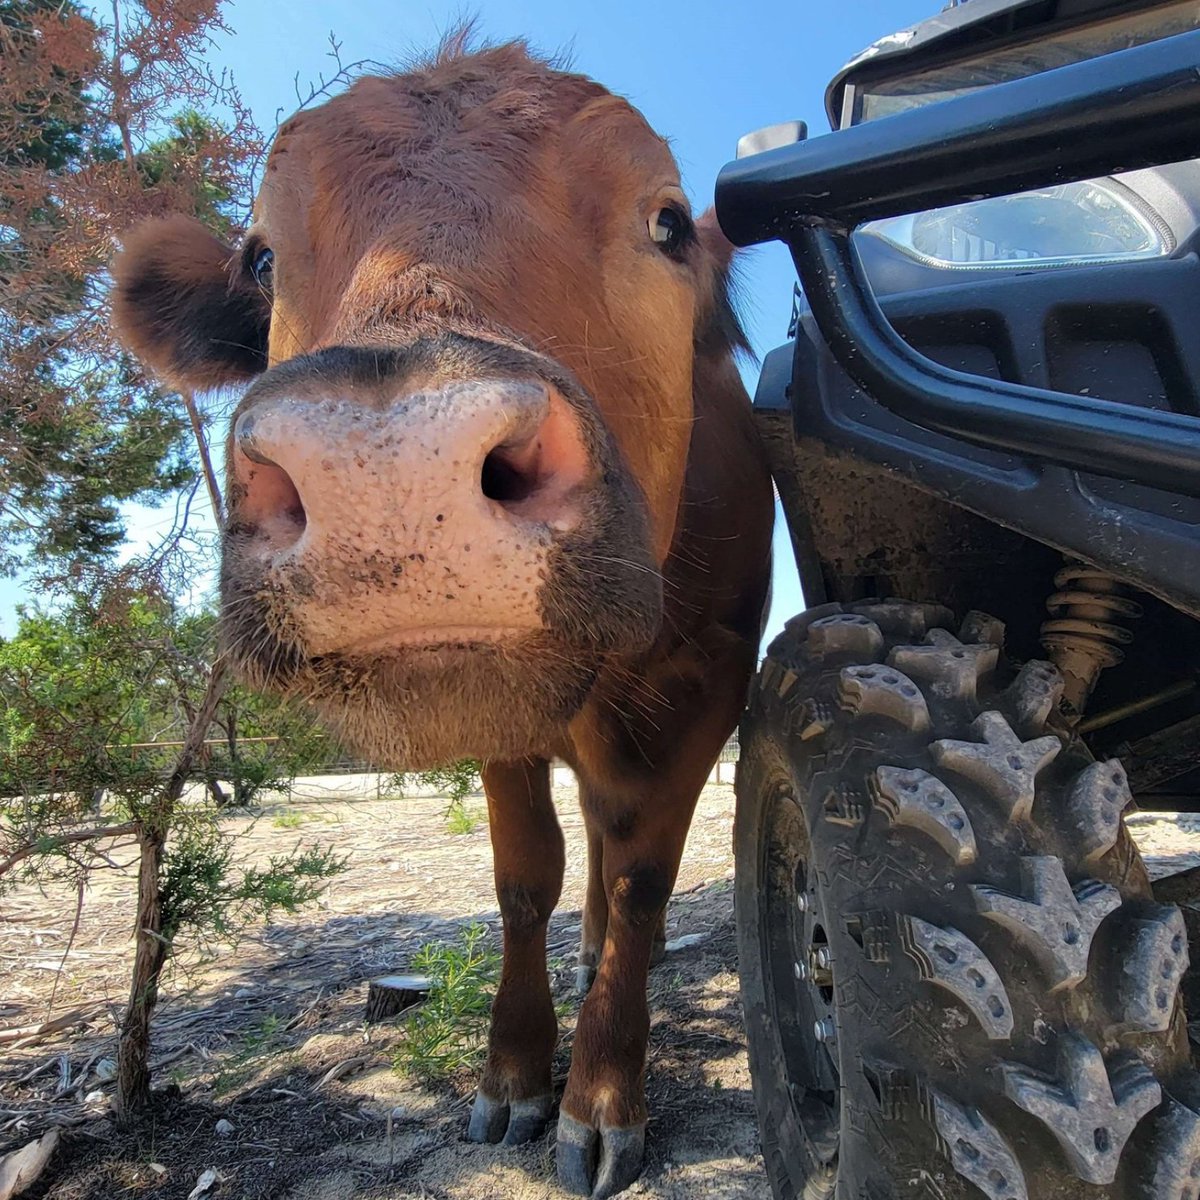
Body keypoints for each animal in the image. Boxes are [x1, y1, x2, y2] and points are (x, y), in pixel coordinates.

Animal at [112, 39, 768, 1200]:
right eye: (261, 258)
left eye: (668, 224)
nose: (391, 470)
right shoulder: (499, 723)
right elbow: (524, 876)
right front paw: (513, 1074)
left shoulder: (712, 680)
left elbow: (643, 874)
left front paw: (601, 1096)